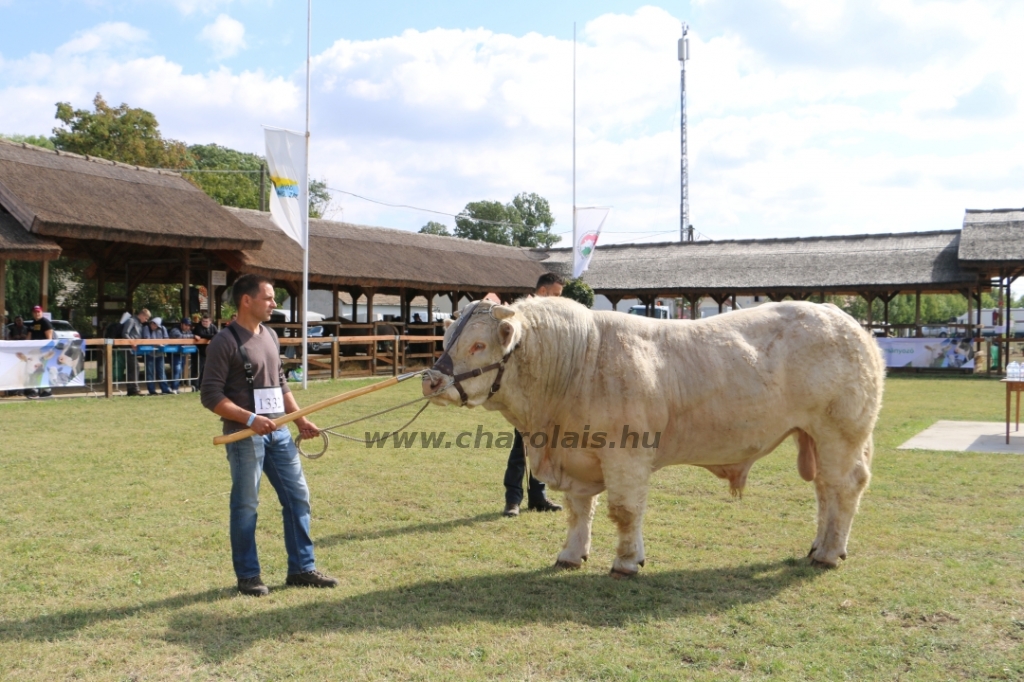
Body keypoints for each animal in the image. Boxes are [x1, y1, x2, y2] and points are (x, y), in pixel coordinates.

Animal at [419, 296, 884, 573]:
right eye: (445, 337)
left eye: (478, 346)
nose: (430, 380)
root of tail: (851, 324)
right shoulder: (578, 456)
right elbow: (578, 511)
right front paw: (571, 554)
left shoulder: (626, 455)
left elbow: (624, 511)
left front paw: (627, 561)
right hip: (817, 436)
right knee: (825, 490)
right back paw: (820, 546)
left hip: (840, 432)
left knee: (844, 487)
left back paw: (829, 553)